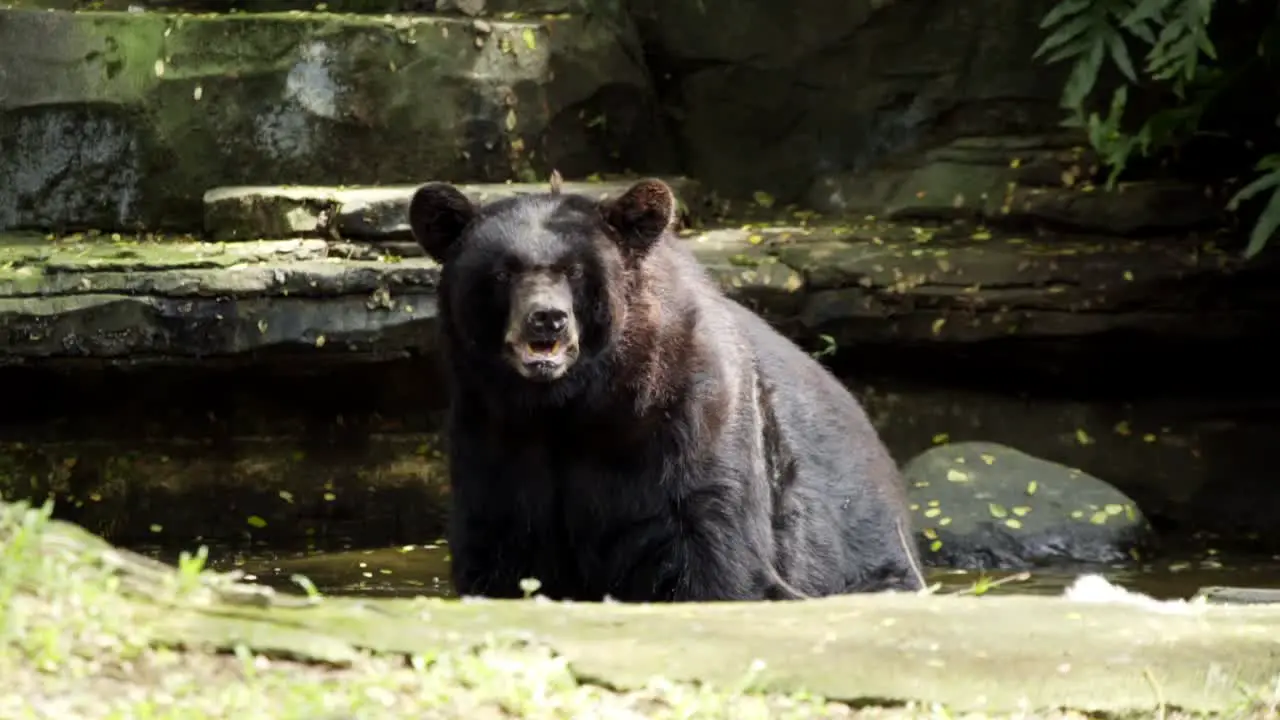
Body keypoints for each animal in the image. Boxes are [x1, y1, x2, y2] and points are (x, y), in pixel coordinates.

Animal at [409, 174, 921, 599]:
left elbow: (713, 551)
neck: (575, 406)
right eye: (502, 272)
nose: (547, 319)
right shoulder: (492, 436)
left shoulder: (687, 419)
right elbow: (499, 549)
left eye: (575, 270)